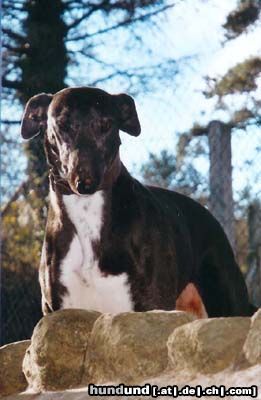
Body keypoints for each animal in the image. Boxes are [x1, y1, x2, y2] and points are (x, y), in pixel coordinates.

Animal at [19, 86, 254, 318]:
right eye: (62, 125)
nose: (85, 182)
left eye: (106, 124)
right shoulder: (59, 313)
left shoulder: (152, 304)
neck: (88, 215)